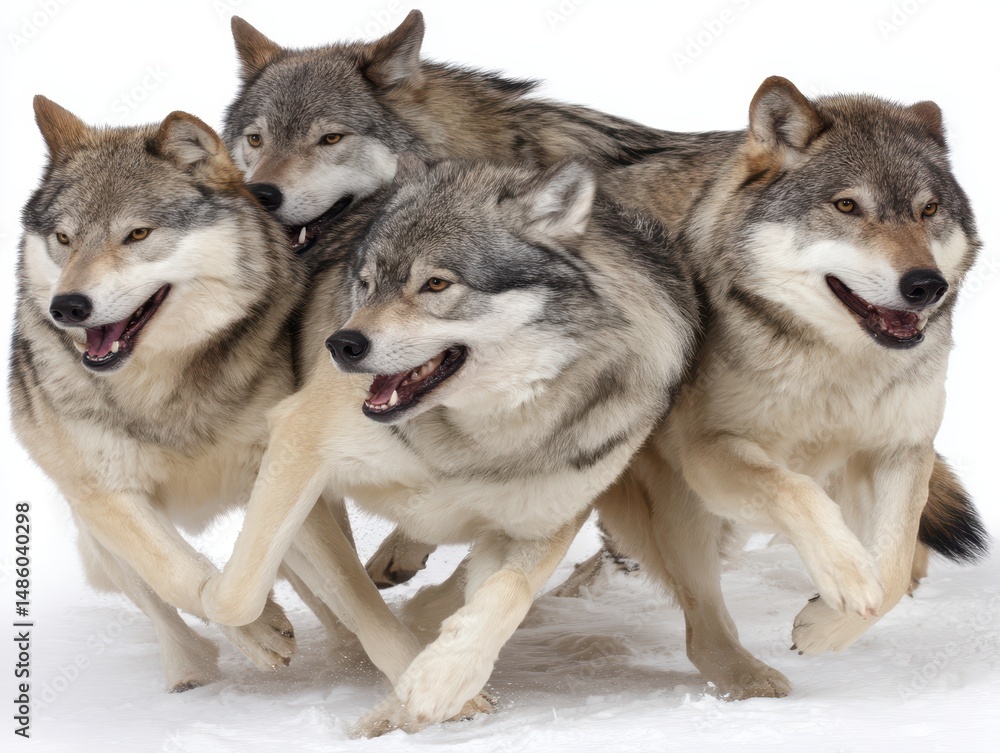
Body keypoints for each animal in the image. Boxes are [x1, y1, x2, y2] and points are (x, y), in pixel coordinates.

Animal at [9, 99, 419, 692]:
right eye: (64, 240)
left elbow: (351, 592)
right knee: (161, 605)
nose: (67, 306)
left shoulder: (278, 473)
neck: (162, 389)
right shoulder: (105, 494)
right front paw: (259, 630)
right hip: (96, 532)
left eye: (137, 234)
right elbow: (181, 577)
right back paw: (190, 667)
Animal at [196, 156, 701, 734]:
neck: (478, 441)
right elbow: (240, 594)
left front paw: (440, 683)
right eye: (366, 283)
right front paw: (237, 614)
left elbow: (507, 594)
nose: (341, 344)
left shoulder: (538, 522)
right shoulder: (298, 439)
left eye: (436, 283)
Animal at [591, 77, 988, 699]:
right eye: (847, 205)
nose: (927, 285)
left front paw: (828, 625)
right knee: (701, 625)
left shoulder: (900, 449)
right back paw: (750, 680)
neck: (835, 365)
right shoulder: (709, 452)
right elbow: (794, 490)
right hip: (681, 499)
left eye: (928, 210)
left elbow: (894, 565)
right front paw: (846, 576)